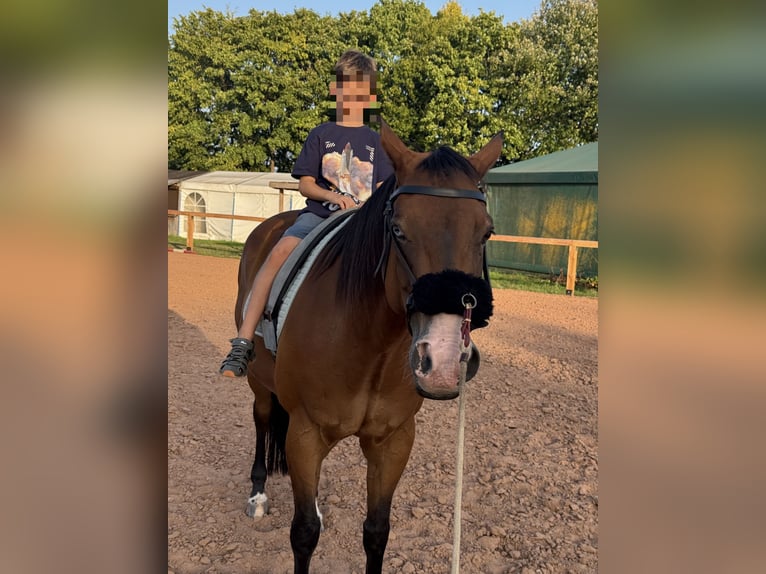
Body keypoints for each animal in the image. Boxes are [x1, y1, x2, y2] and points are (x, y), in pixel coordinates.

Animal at [233, 119, 503, 573]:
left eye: (486, 232)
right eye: (398, 230)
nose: (443, 361)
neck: (368, 346)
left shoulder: (393, 441)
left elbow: (377, 531)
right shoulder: (305, 433)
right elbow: (303, 533)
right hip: (259, 383)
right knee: (262, 419)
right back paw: (257, 493)